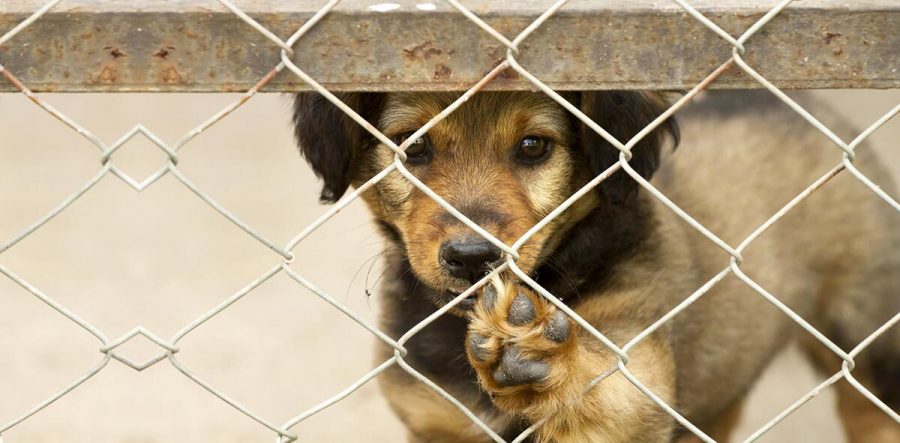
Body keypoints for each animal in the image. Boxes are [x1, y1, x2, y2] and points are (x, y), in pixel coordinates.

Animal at [292, 91, 896, 443]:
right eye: (411, 146)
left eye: (533, 146)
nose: (472, 258)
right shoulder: (435, 423)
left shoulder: (637, 373)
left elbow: (601, 389)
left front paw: (535, 353)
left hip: (866, 333)